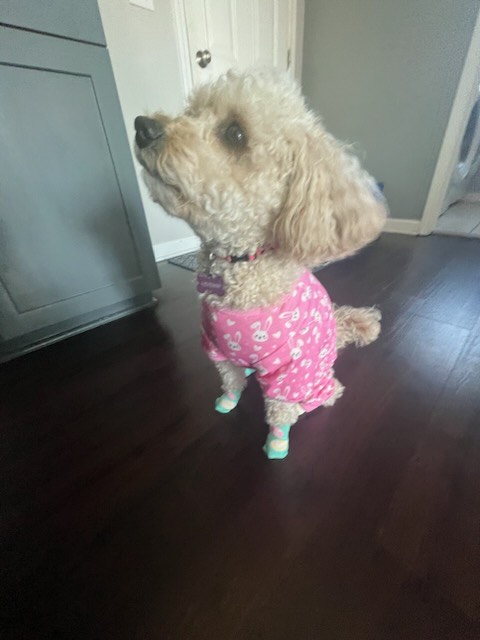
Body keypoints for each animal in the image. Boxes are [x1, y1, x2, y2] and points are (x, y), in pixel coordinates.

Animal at [134, 70, 386, 460]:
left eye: (235, 134)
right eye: (192, 111)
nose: (142, 126)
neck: (240, 263)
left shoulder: (291, 368)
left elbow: (280, 408)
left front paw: (276, 442)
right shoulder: (216, 347)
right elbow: (230, 379)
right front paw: (228, 401)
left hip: (315, 373)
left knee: (323, 391)